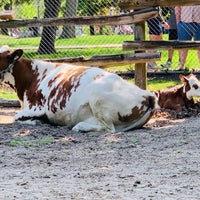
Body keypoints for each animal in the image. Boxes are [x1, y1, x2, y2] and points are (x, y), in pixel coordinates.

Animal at [0, 45, 156, 133]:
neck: (32, 77)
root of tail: (146, 94)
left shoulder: (36, 107)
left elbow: (15, 118)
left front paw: (35, 121)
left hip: (97, 96)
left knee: (109, 129)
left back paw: (80, 127)